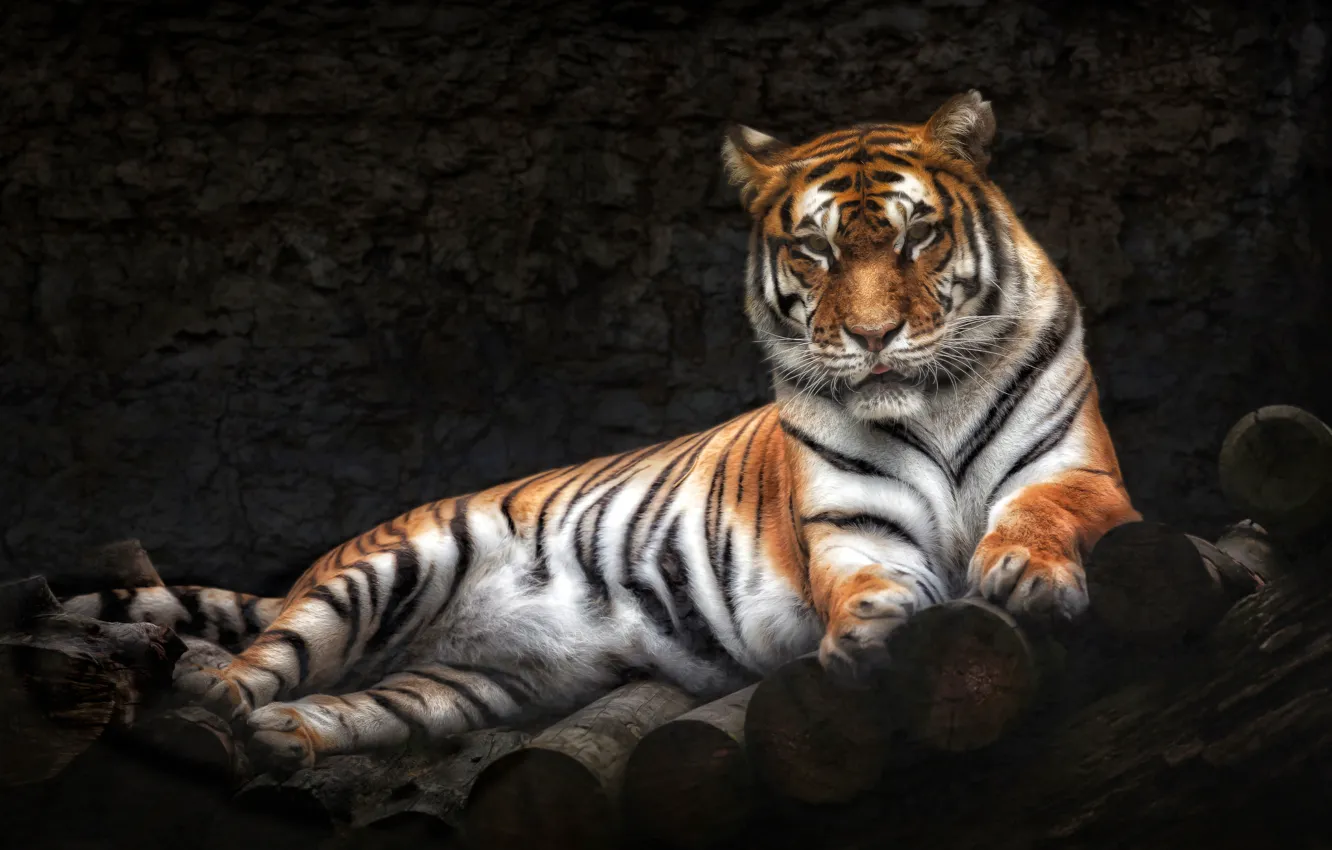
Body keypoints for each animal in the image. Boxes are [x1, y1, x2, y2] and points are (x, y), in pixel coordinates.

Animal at [64, 90, 1139, 772]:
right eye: (815, 249)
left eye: (918, 236)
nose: (874, 338)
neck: (932, 399)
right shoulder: (850, 525)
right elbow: (870, 579)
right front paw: (873, 631)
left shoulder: (1081, 475)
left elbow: (1042, 514)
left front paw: (1023, 570)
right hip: (379, 575)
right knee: (249, 669)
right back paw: (212, 723)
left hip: (467, 686)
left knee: (351, 701)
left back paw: (289, 739)